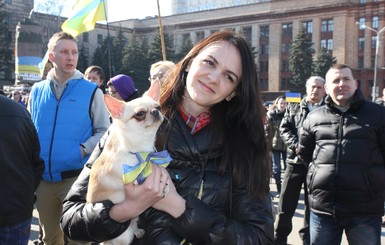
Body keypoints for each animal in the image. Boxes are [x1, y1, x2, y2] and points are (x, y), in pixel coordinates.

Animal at [86, 90, 164, 245]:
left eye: (158, 107)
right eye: (140, 114)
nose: (155, 111)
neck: (139, 150)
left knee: (133, 223)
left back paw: (137, 231)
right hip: (124, 235)